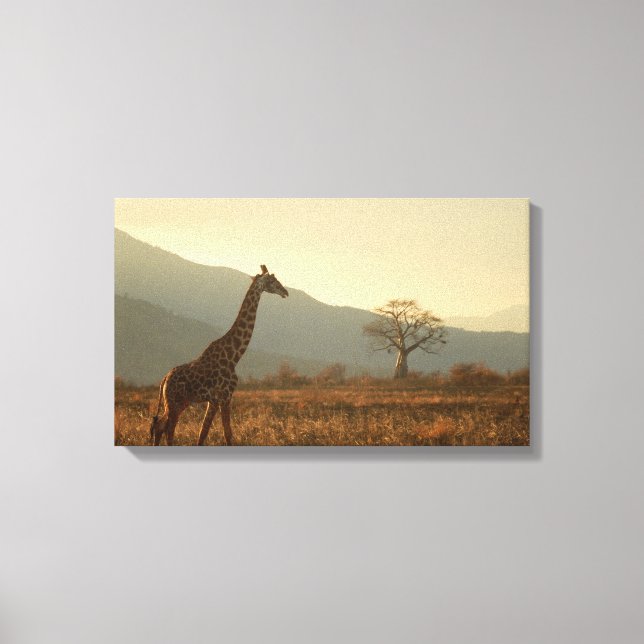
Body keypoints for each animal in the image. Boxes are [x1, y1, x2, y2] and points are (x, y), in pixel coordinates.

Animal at [149, 265, 289, 446]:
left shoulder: (216, 400)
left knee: (162, 426)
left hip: (180, 403)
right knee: (166, 427)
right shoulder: (222, 397)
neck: (234, 356)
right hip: (174, 402)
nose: (285, 291)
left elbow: (209, 433)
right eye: (272, 280)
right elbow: (218, 434)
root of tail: (164, 379)